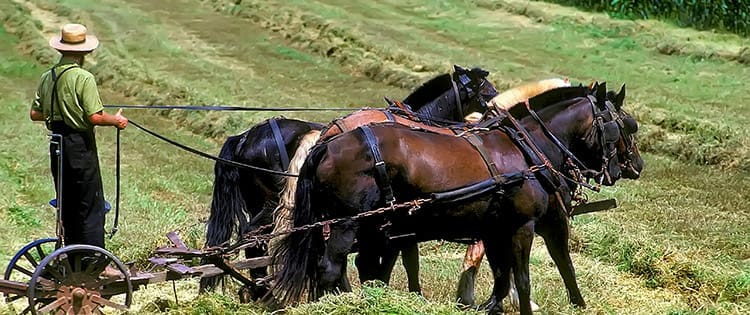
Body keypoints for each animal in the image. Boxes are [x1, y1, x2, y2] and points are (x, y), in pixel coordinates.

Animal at [203, 65, 502, 294]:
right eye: (488, 92)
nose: (497, 119)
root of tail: (244, 137)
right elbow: (403, 259)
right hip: (273, 205)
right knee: (257, 239)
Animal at [274, 82, 644, 314]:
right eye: (627, 125)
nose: (636, 166)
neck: (531, 152)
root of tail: (327, 142)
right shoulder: (530, 225)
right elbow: (540, 272)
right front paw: (570, 304)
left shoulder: (496, 229)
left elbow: (501, 274)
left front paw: (490, 305)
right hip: (349, 224)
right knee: (331, 267)